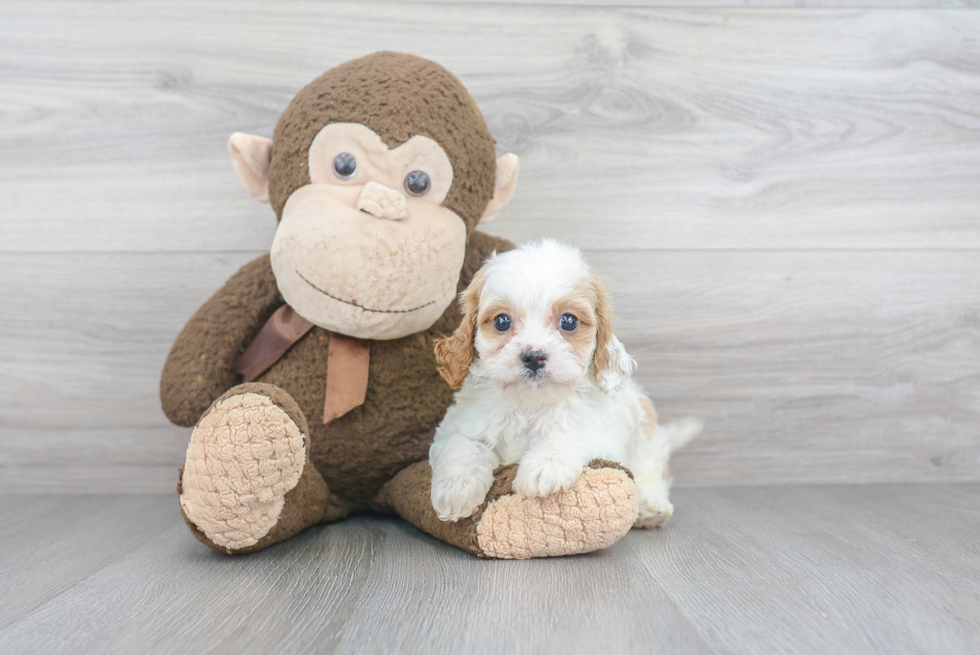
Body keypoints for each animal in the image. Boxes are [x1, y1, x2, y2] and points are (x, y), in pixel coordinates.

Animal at [426, 240, 696, 528]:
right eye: (502, 321)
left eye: (568, 321)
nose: (534, 356)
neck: (530, 404)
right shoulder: (457, 424)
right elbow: (464, 445)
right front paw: (456, 488)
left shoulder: (603, 434)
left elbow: (571, 434)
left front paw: (546, 466)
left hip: (645, 436)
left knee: (650, 472)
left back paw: (649, 506)